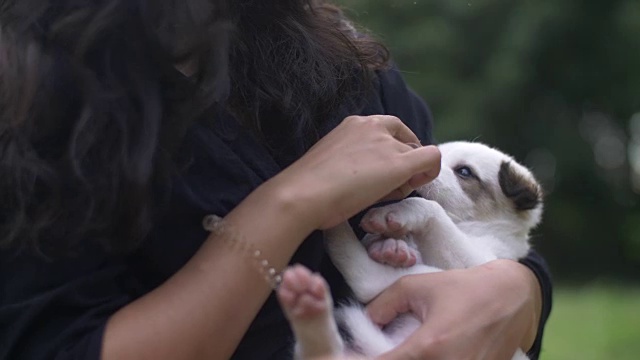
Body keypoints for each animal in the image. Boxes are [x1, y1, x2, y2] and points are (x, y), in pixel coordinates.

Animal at [276, 141, 544, 360]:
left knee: (366, 279)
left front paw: (396, 214)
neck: (472, 226)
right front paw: (392, 246)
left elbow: (429, 208)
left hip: (430, 278)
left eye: (464, 171)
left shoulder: (477, 260)